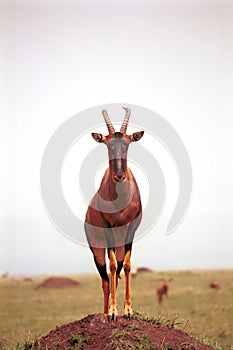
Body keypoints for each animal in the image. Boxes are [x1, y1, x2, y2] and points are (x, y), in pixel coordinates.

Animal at [85, 108, 144, 322]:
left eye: (127, 142)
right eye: (108, 143)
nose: (119, 176)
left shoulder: (131, 229)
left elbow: (126, 266)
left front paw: (128, 311)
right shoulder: (108, 227)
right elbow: (110, 269)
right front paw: (112, 312)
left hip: (119, 245)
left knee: (115, 275)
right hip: (97, 248)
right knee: (105, 278)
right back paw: (105, 313)